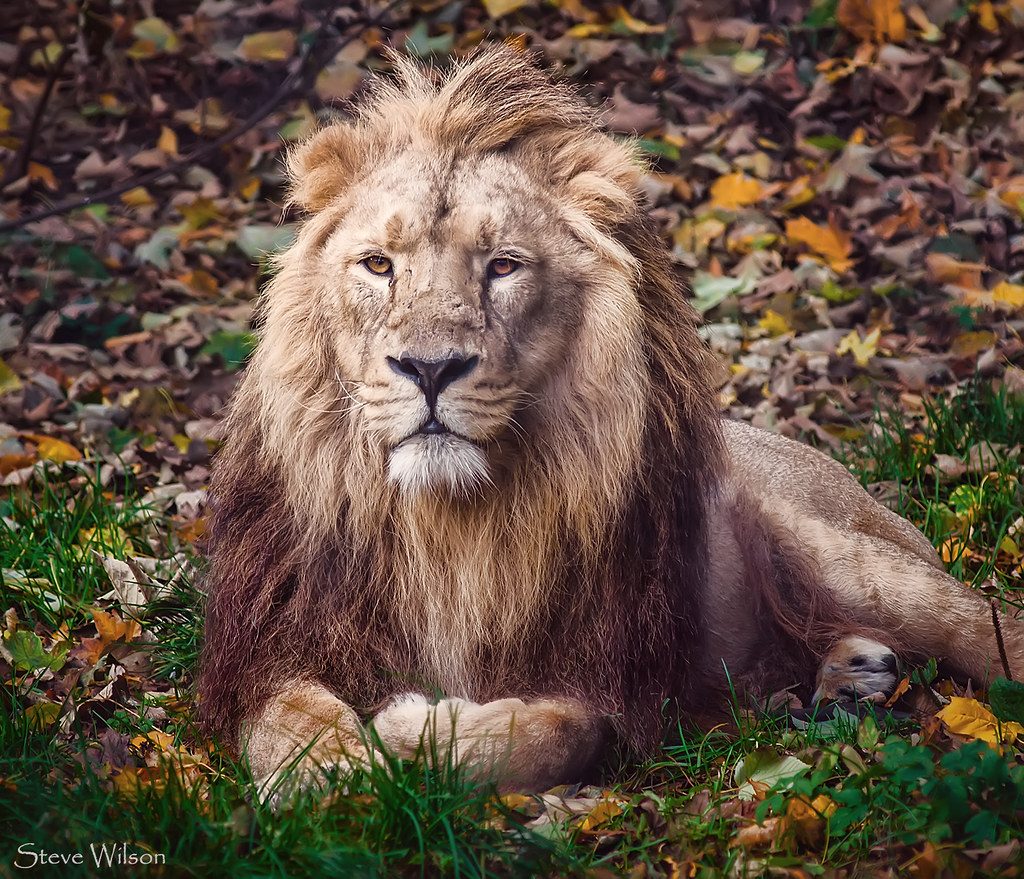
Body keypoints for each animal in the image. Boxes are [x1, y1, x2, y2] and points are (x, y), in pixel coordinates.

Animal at [195, 46, 1019, 794]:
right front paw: (336, 770)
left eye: (502, 265)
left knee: (986, 620)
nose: (429, 369)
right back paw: (853, 674)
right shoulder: (275, 642)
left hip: (851, 557)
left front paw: (411, 731)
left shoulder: (613, 675)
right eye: (377, 265)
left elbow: (552, 734)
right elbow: (289, 723)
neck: (447, 528)